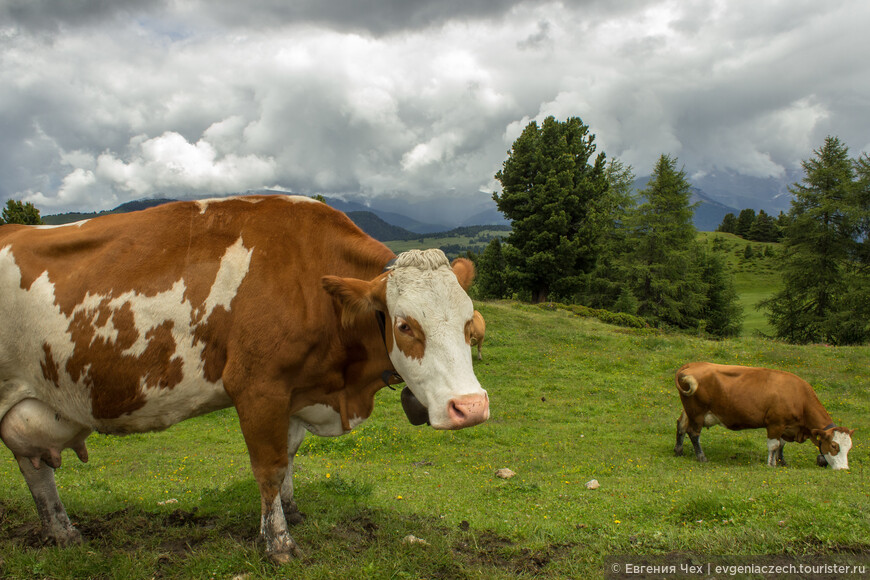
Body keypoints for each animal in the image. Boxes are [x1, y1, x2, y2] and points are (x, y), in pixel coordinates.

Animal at [0, 195, 490, 560]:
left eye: (470, 322)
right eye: (405, 325)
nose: (471, 407)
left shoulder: (294, 390)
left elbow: (289, 456)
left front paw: (291, 513)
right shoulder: (258, 387)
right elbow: (269, 467)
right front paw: (278, 543)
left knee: (33, 465)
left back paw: (63, 533)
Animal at [676, 362, 860, 472]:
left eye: (849, 447)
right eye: (834, 446)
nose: (844, 469)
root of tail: (694, 364)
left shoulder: (787, 427)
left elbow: (782, 445)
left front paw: (782, 461)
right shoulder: (775, 424)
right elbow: (774, 445)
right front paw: (771, 464)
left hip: (689, 411)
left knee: (681, 425)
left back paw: (679, 450)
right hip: (697, 412)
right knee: (694, 433)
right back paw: (702, 457)